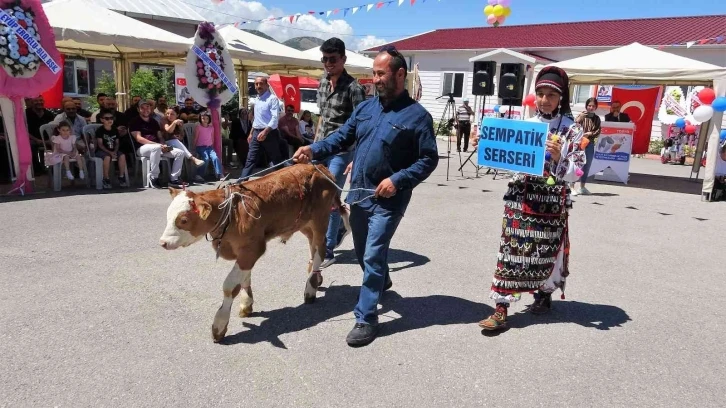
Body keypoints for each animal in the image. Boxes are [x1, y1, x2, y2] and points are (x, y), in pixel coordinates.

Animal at [160, 164, 352, 342]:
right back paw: (316, 276)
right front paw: (246, 304)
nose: (163, 242)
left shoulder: (252, 248)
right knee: (313, 248)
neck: (232, 213)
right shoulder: (246, 251)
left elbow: (229, 286)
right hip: (304, 224)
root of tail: (318, 167)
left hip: (320, 219)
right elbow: (244, 278)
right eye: (168, 215)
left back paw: (310, 289)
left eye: (184, 220)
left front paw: (219, 325)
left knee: (319, 249)